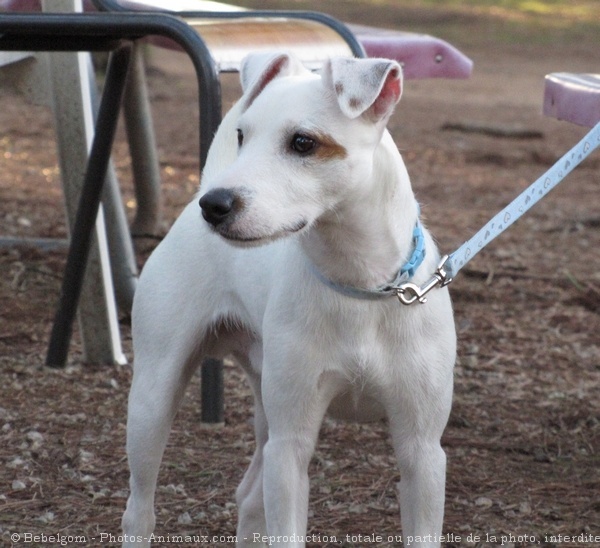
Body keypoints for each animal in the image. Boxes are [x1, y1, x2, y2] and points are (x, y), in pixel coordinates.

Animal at [123, 52, 460, 548]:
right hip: (155, 397)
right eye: (242, 136)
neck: (360, 288)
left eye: (303, 142)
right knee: (140, 509)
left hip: (265, 407)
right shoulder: (290, 447)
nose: (215, 205)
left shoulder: (422, 453)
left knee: (248, 497)